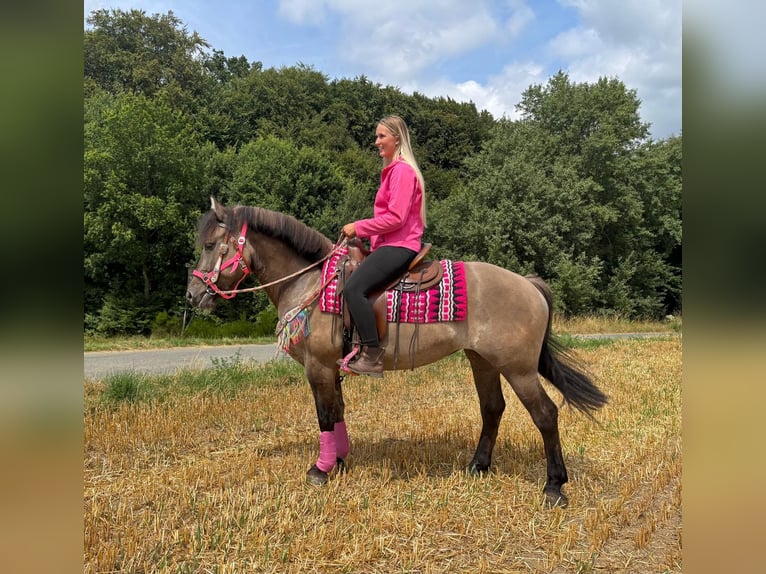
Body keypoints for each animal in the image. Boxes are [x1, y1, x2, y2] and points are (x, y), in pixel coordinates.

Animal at [186, 198, 608, 507]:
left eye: (209, 245)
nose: (192, 295)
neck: (311, 282)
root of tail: (529, 283)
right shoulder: (332, 369)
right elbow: (338, 413)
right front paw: (340, 460)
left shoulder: (318, 367)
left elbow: (324, 416)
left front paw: (320, 470)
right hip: (483, 361)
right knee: (492, 409)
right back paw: (477, 466)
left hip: (518, 368)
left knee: (545, 415)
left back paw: (554, 486)